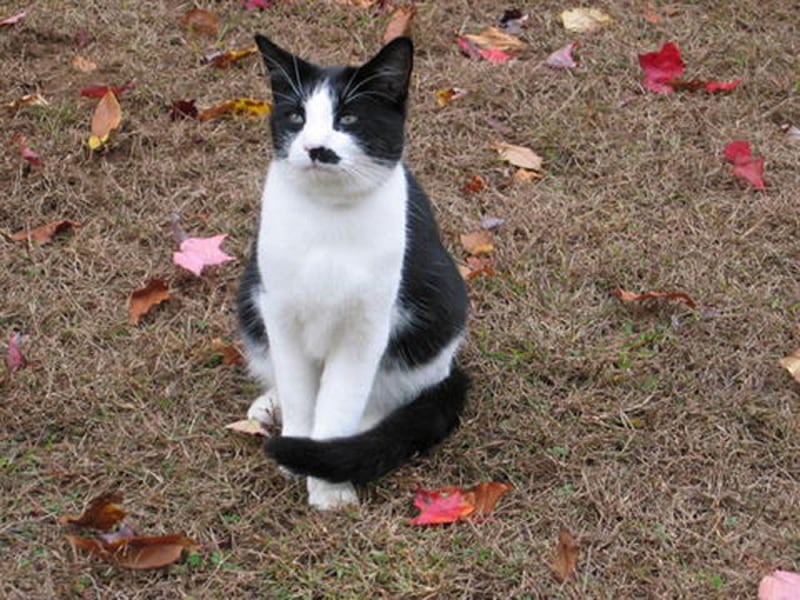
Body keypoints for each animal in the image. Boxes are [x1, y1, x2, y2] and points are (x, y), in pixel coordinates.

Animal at [236, 35, 468, 508]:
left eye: (348, 117)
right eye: (297, 116)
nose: (315, 147)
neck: (326, 221)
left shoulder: (364, 329)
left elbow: (339, 405)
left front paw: (328, 485)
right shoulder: (280, 313)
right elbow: (300, 391)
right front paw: (296, 452)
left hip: (439, 315)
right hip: (251, 296)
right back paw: (270, 403)